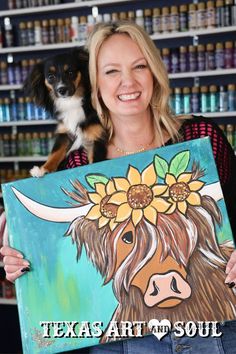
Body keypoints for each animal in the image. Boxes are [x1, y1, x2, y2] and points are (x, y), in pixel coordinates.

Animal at [23, 47, 106, 177]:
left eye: (71, 73)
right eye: (50, 77)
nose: (62, 90)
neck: (71, 102)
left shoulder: (96, 137)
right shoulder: (65, 134)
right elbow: (55, 153)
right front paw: (43, 169)